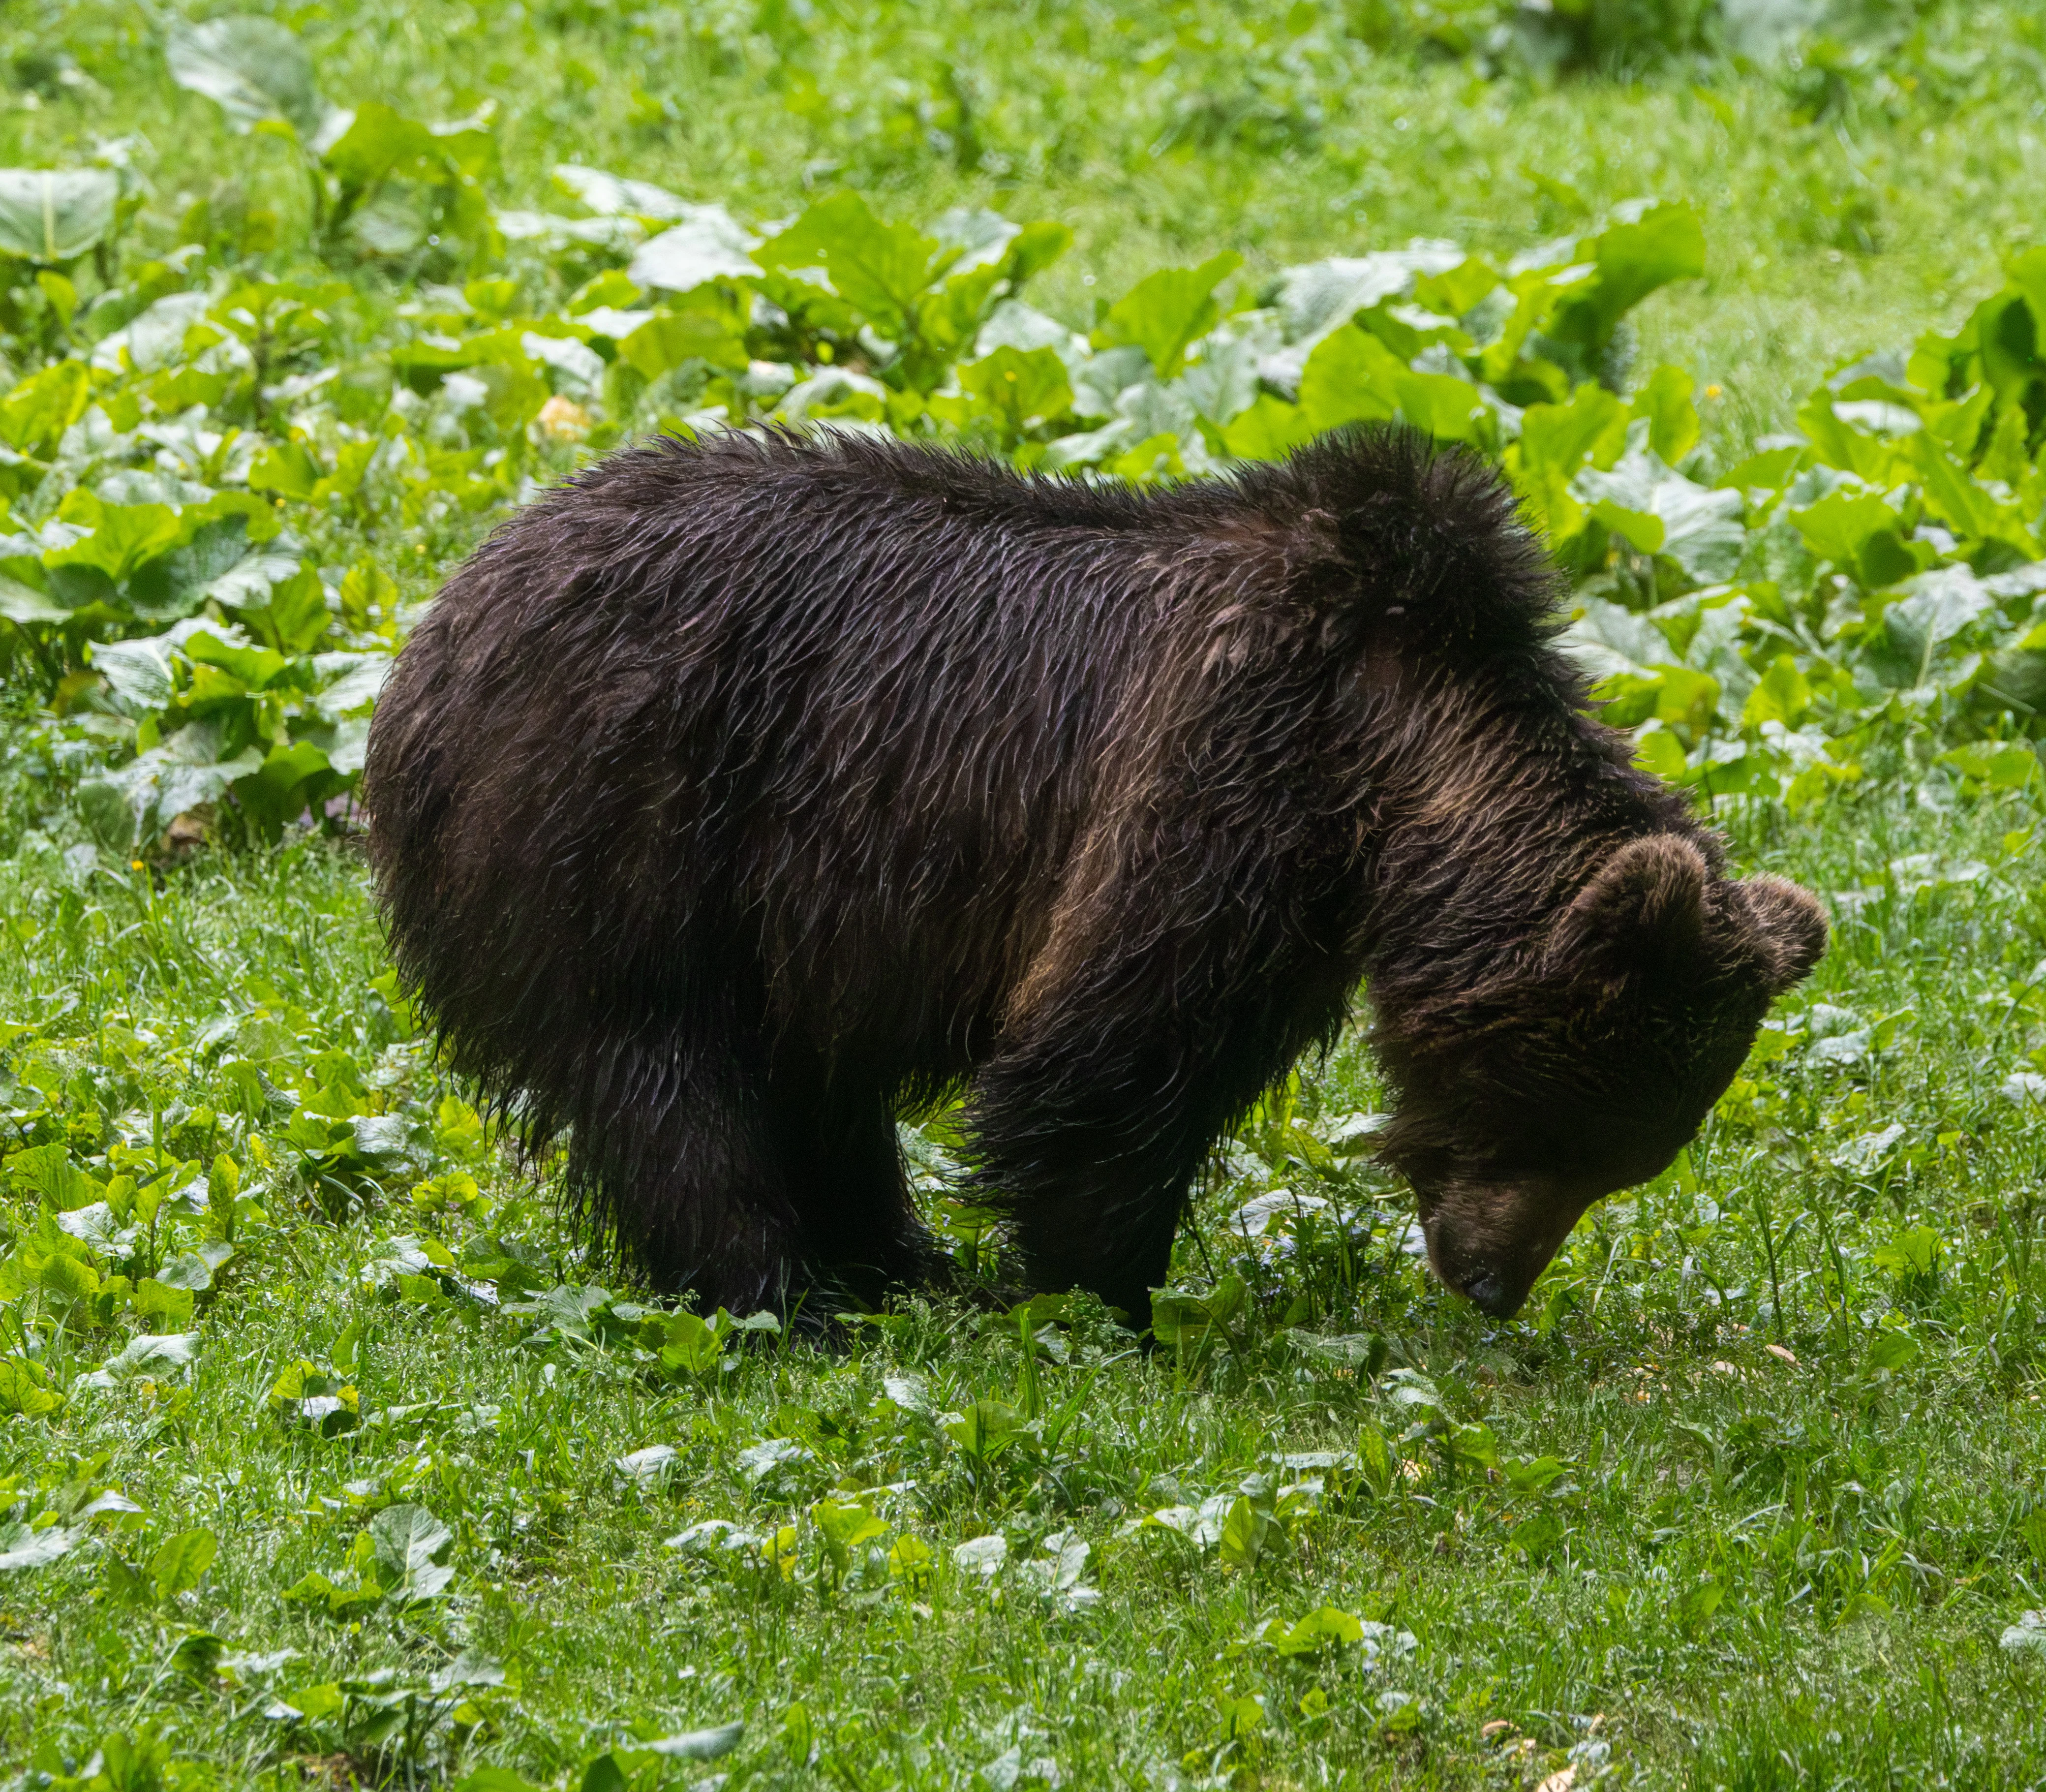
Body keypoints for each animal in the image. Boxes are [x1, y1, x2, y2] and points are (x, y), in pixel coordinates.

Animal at [363, 423, 1826, 1324]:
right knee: (665, 1065)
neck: (1389, 758)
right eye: (1557, 1130)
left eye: (1620, 1163)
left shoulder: (1305, 901)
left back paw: (894, 1258)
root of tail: (434, 632)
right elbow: (1112, 1052)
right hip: (630, 816)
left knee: (804, 1076)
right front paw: (1107, 1288)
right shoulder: (1219, 771)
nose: (1488, 1281)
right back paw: (788, 1290)